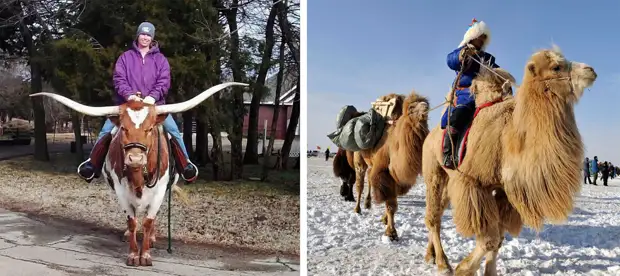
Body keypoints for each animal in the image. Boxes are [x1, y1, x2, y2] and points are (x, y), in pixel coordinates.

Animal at [348, 91, 432, 242]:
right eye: (411, 108)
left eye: (425, 103)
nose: (425, 107)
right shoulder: (384, 172)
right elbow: (391, 205)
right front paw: (391, 233)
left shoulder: (398, 179)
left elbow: (392, 201)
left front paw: (385, 220)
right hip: (360, 158)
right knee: (360, 183)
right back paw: (357, 209)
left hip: (372, 164)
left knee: (370, 178)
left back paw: (368, 203)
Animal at [422, 46, 596, 274]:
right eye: (556, 67)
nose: (590, 70)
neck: (507, 138)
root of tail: (430, 135)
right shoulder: (473, 184)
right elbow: (489, 239)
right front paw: (464, 269)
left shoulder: (505, 191)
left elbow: (498, 239)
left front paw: (488, 271)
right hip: (433, 171)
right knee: (433, 217)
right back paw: (443, 263)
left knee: (437, 212)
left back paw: (431, 255)